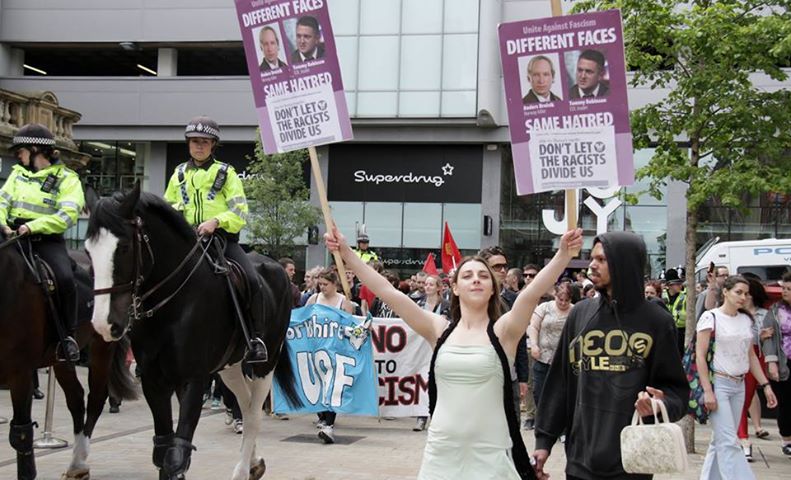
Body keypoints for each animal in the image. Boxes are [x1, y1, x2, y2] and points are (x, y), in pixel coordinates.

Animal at [0, 231, 137, 478]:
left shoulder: (20, 373)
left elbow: (21, 434)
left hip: (102, 345)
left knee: (95, 398)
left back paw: (79, 462)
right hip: (61, 359)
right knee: (76, 398)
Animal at [83, 185, 300, 480]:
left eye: (125, 247)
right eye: (88, 250)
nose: (105, 324)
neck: (174, 301)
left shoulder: (194, 379)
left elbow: (177, 453)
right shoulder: (153, 379)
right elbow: (164, 449)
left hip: (264, 363)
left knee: (254, 414)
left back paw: (243, 470)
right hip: (230, 366)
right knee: (244, 404)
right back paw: (254, 462)